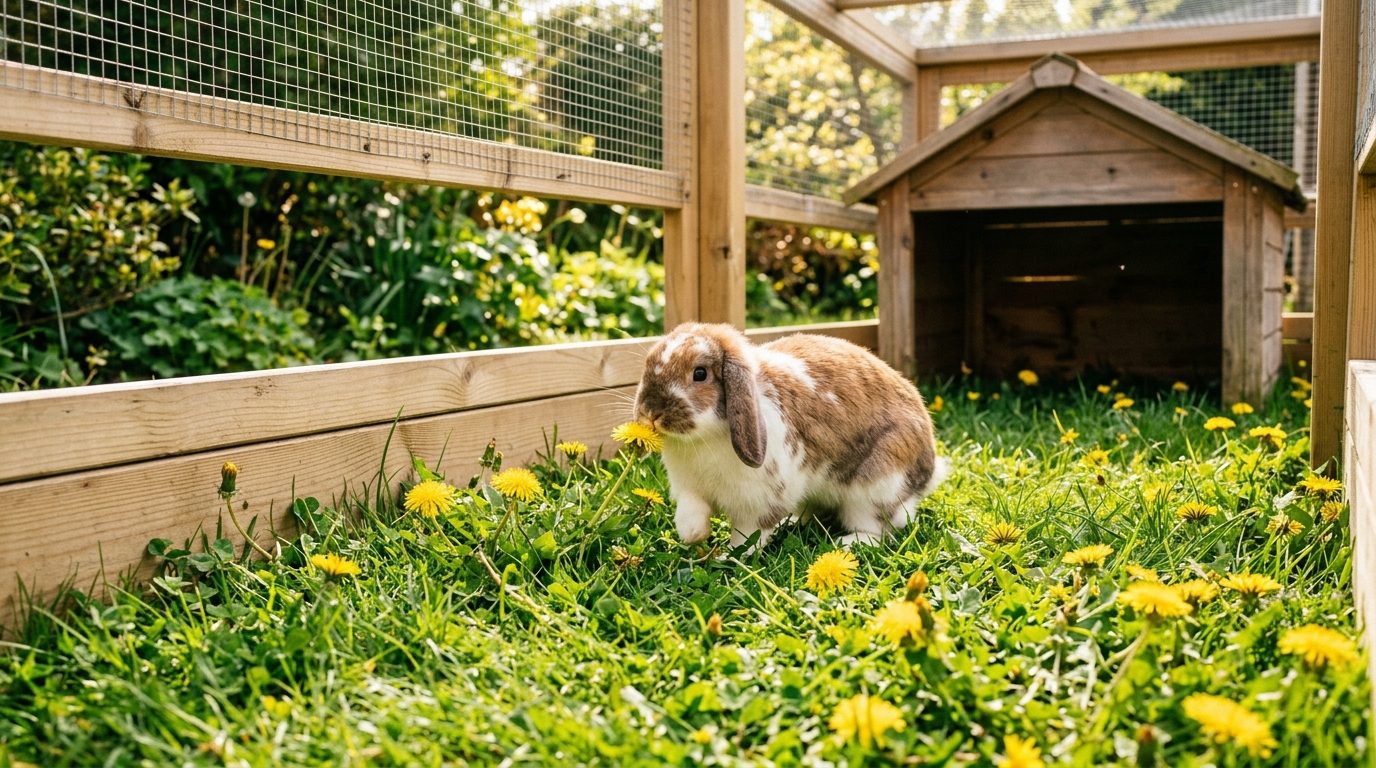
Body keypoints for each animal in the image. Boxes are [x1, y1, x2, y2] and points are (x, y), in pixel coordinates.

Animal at [632, 322, 949, 552]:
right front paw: (692, 535)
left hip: (876, 487)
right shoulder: (690, 489)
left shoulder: (757, 504)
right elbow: (692, 510)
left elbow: (747, 536)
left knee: (880, 528)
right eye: (647, 363)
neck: (703, 438)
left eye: (700, 374)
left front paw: (730, 557)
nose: (651, 411)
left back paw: (847, 542)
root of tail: (929, 469)